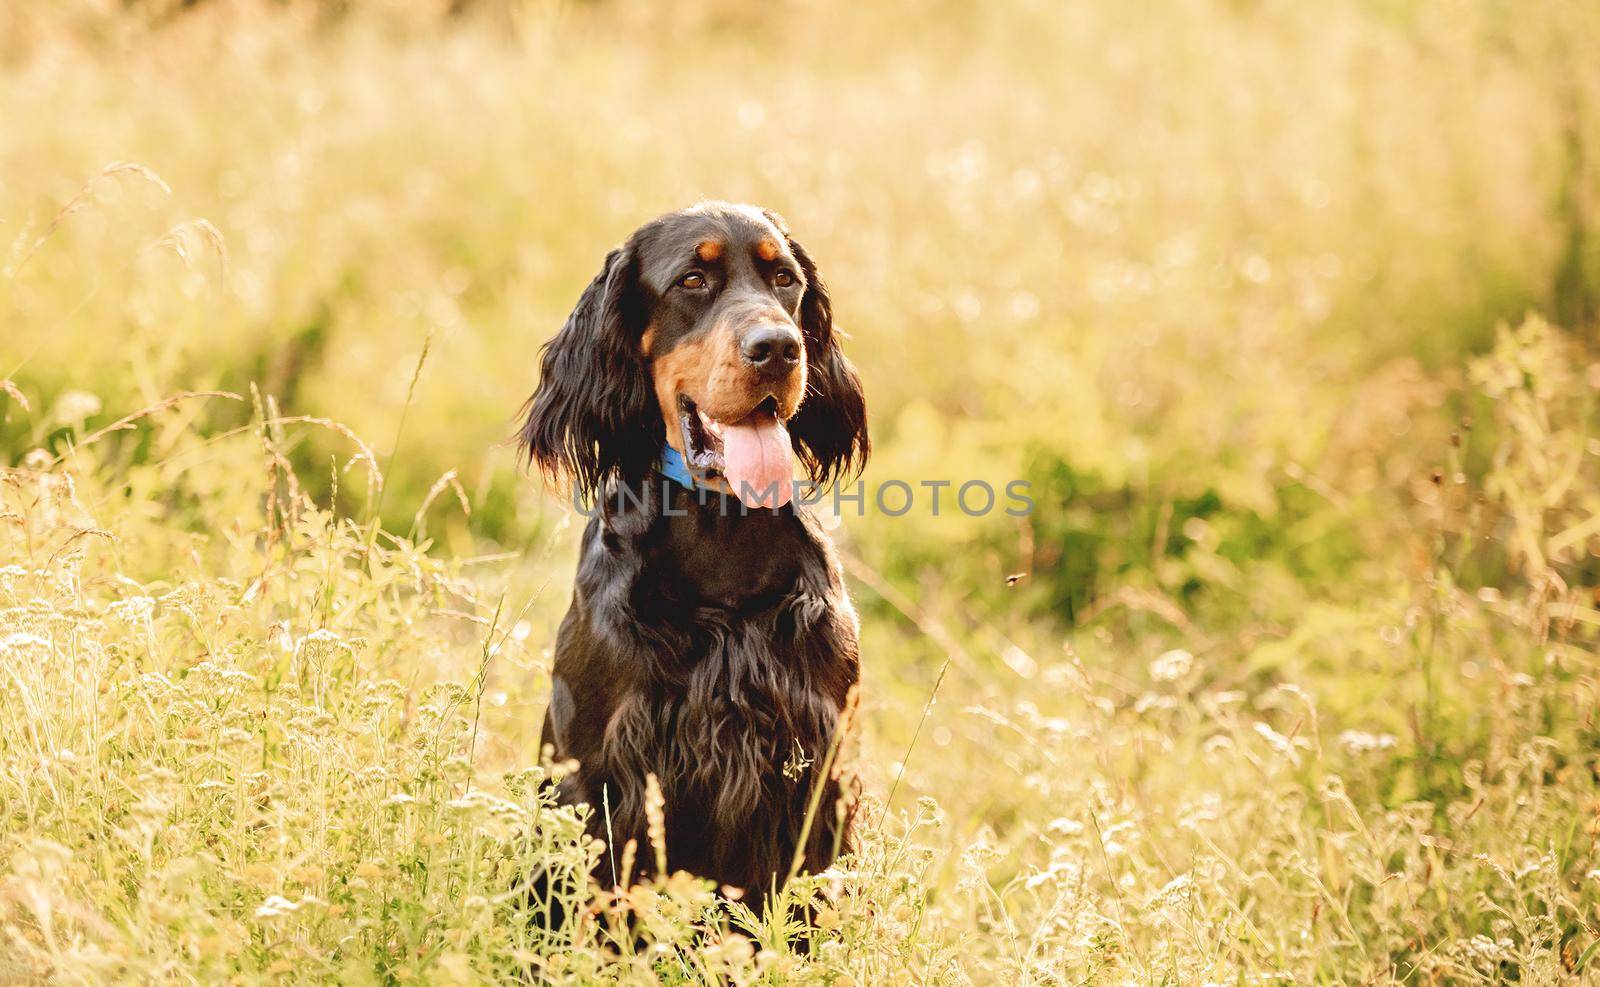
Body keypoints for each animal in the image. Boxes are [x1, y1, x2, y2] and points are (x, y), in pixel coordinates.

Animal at [518, 202, 870, 915]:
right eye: (692, 280)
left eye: (785, 279)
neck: (721, 531)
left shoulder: (819, 766)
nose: (779, 348)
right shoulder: (600, 775)